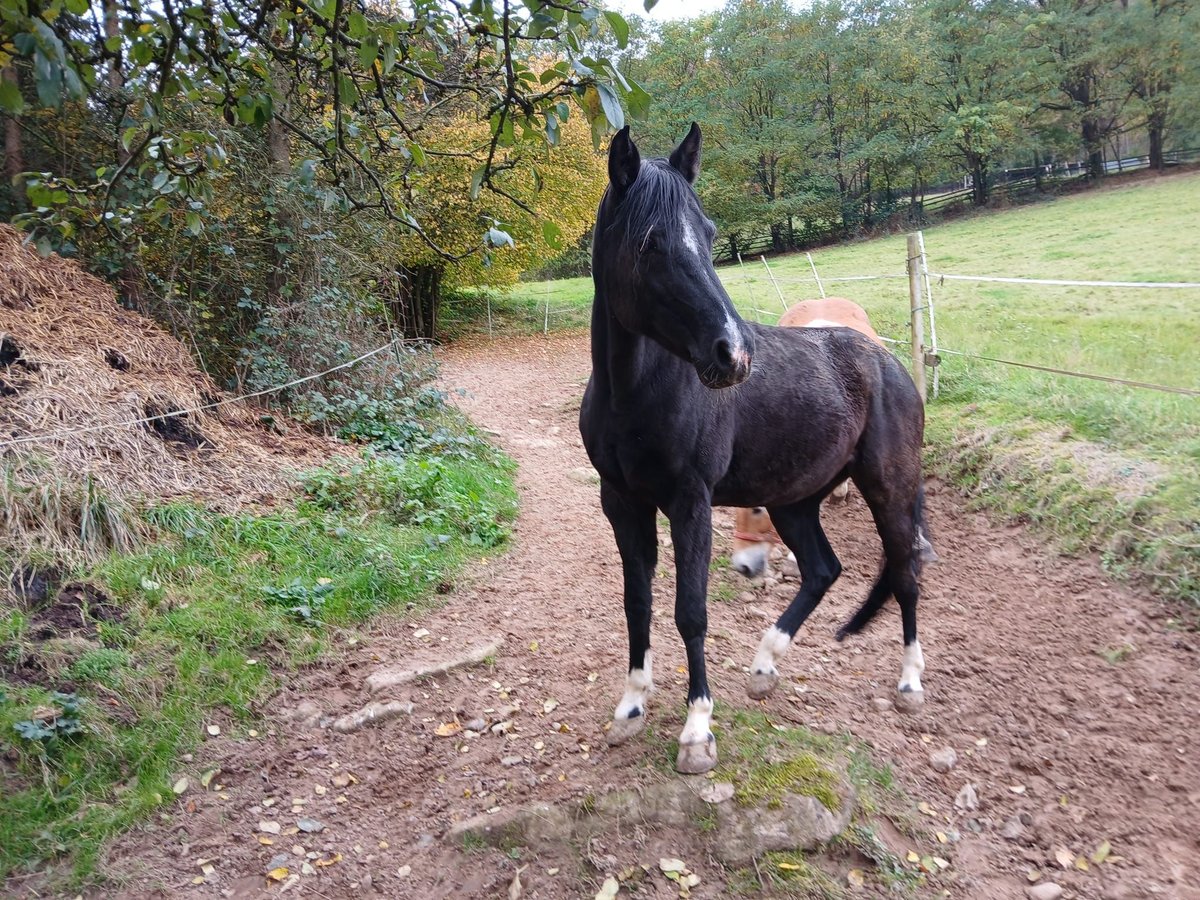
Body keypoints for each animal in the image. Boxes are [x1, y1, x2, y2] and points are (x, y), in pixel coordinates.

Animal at [576, 125, 931, 777]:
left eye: (710, 232)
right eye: (649, 242)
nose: (733, 354)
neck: (636, 393)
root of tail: (889, 364)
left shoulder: (689, 503)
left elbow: (691, 611)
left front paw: (697, 731)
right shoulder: (622, 503)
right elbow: (637, 602)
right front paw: (632, 706)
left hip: (889, 488)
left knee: (905, 571)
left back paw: (910, 683)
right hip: (794, 500)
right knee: (823, 570)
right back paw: (765, 665)